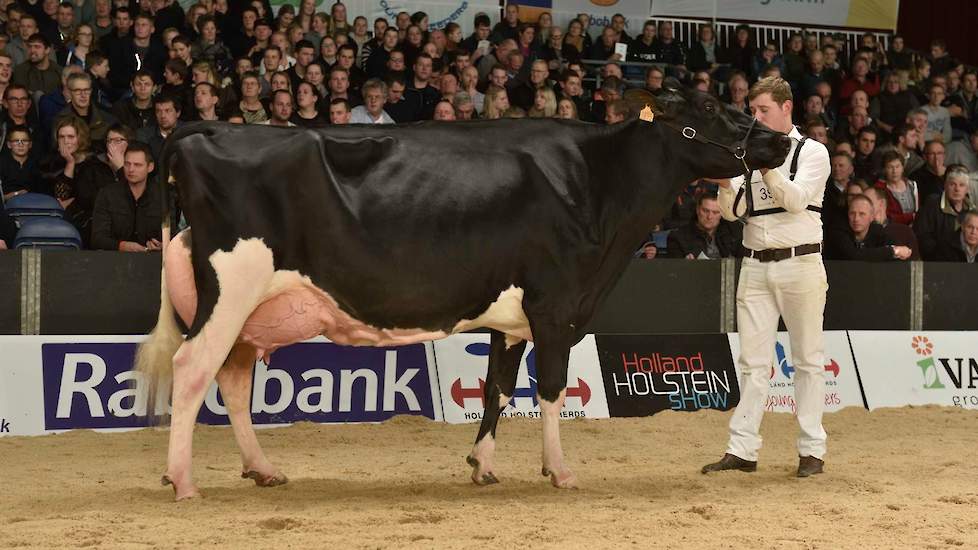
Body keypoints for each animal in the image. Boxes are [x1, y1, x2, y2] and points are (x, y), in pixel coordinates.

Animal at [137, 85, 788, 500]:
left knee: (232, 379)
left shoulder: (512, 318)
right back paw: (184, 482)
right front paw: (559, 471)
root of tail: (204, 128)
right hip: (231, 288)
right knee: (193, 369)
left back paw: (262, 469)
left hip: (252, 310)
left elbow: (498, 387)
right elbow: (550, 390)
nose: (781, 142)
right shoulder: (556, 304)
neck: (596, 183)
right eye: (710, 106)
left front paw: (482, 466)